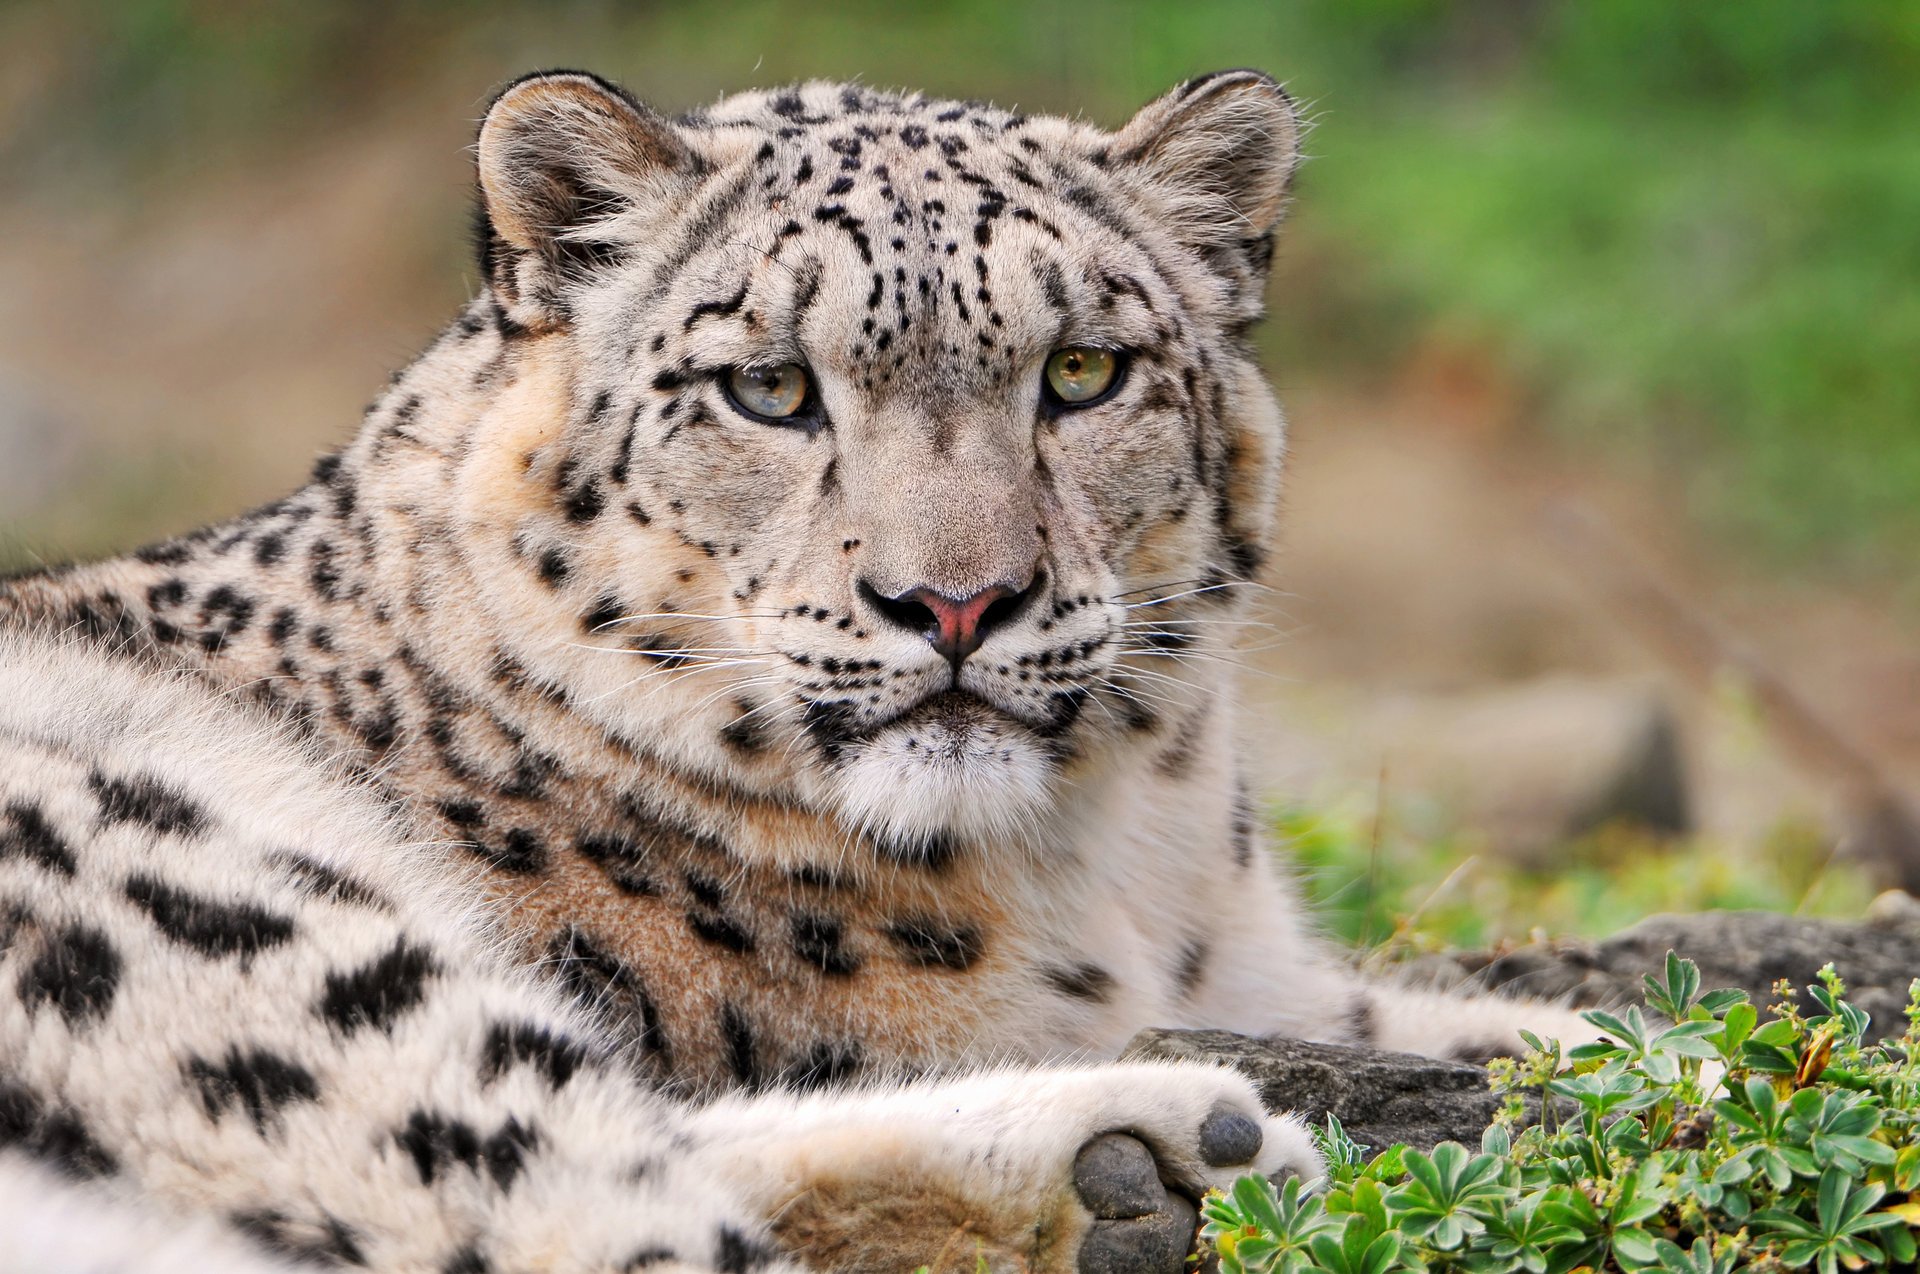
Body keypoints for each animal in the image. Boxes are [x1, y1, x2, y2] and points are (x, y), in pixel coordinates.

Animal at [0, 69, 1589, 1272]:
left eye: (1083, 371)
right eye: (769, 386)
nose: (956, 602)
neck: (1125, 869)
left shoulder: (1279, 973)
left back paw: (1149, 1162)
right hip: (260, 943)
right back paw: (1159, 1153)